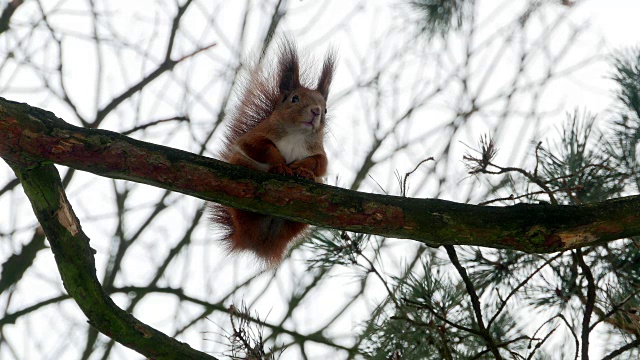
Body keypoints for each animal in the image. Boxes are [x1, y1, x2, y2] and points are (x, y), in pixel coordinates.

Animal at [212, 40, 338, 264]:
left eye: (325, 109)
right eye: (294, 99)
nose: (315, 111)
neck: (297, 134)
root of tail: (257, 241)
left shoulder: (318, 151)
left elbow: (320, 164)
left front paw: (302, 169)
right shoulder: (256, 135)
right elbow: (261, 147)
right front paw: (281, 165)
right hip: (240, 166)